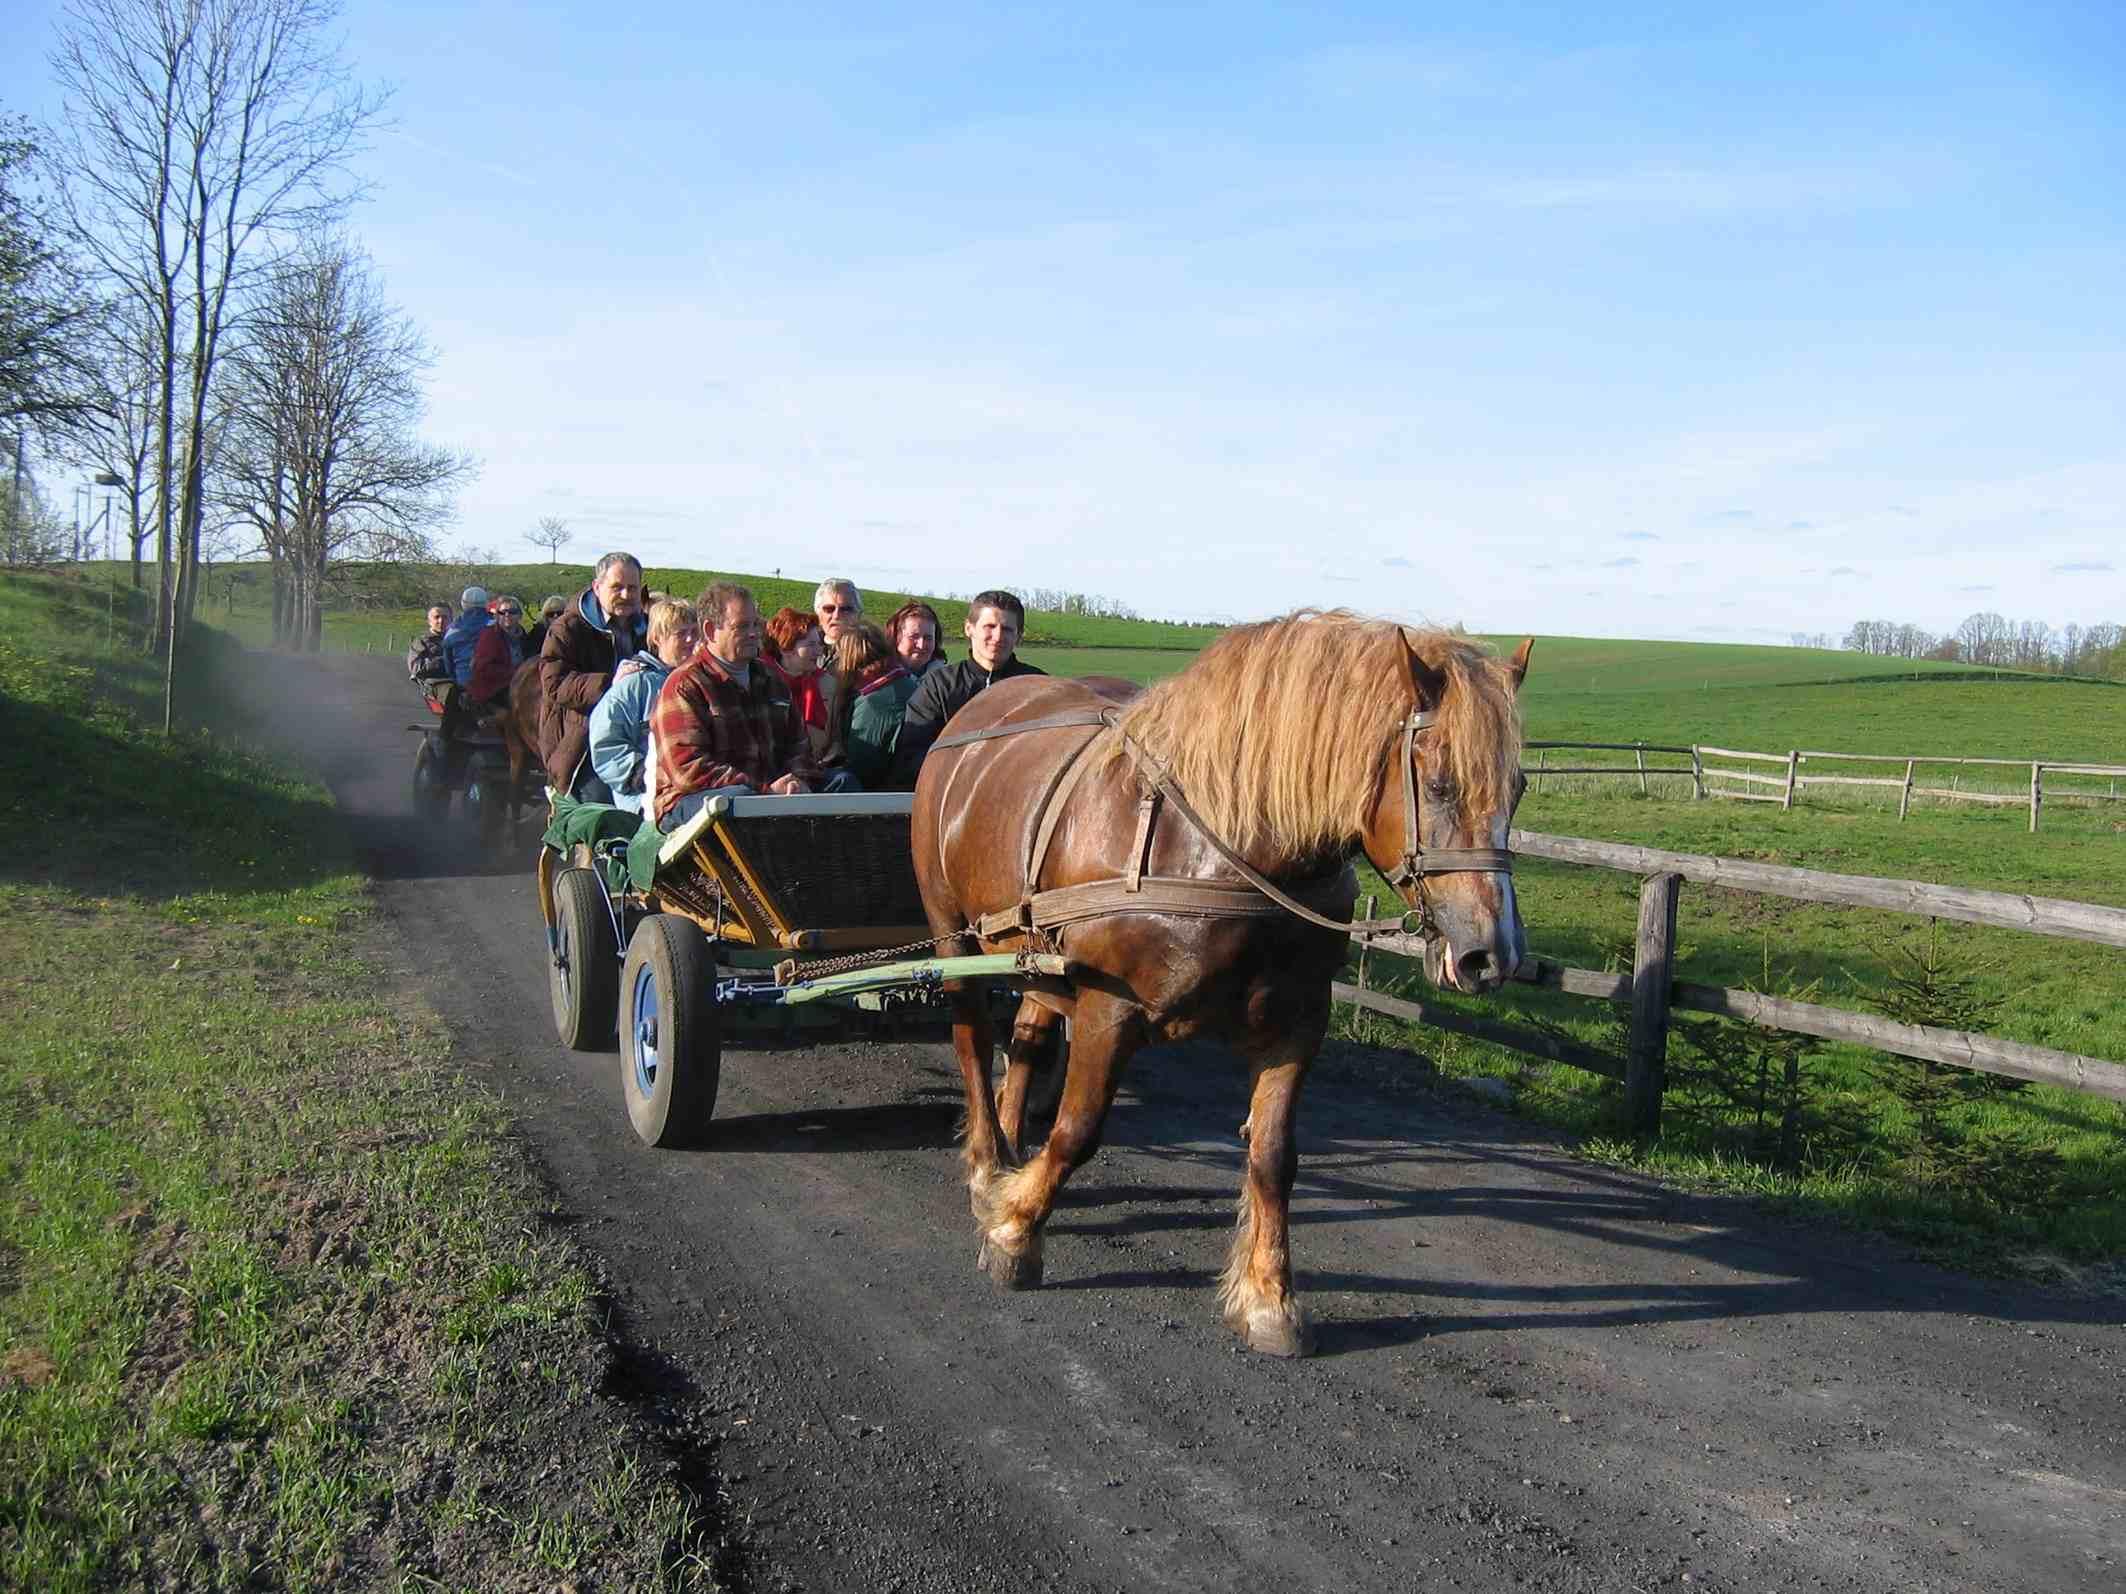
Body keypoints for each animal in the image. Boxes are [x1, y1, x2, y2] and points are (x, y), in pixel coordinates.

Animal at [914, 612, 1530, 1360]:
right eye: (1439, 783)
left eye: (1519, 788)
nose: (1492, 955)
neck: (1218, 848)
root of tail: (984, 709)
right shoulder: (1107, 1011)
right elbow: (1077, 1131)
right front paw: (1014, 1234)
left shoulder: (1299, 1020)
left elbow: (1273, 1157)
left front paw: (1268, 1296)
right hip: (951, 934)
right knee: (973, 1041)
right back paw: (985, 1165)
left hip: (1035, 958)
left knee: (1028, 1037)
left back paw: (1006, 1148)